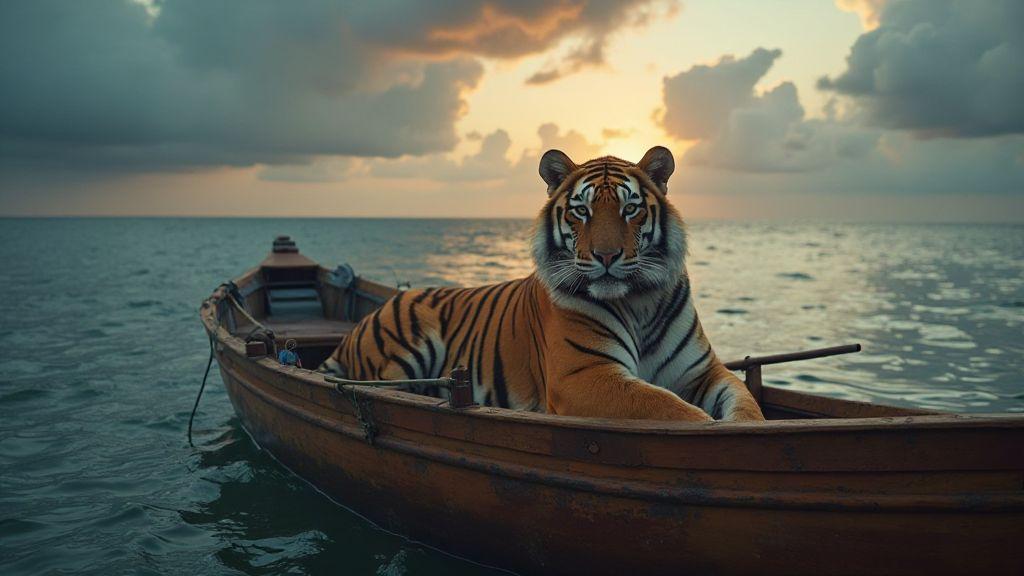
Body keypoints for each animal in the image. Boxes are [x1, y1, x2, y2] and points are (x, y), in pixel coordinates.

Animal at [319, 146, 764, 422]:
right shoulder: (583, 375)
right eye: (581, 211)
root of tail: (356, 329)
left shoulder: (701, 372)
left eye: (630, 209)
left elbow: (746, 407)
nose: (606, 256)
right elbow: (678, 412)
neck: (640, 300)